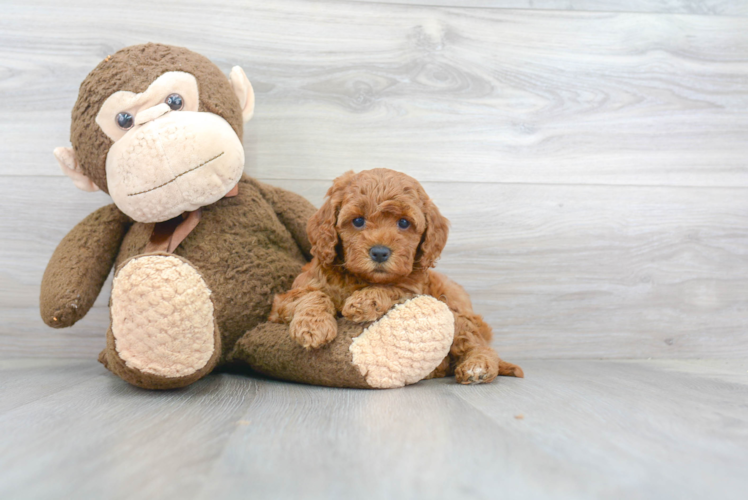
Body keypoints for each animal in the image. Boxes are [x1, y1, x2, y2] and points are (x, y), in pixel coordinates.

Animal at [270, 170, 524, 384]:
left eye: (404, 222)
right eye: (358, 220)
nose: (380, 252)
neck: (361, 279)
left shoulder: (415, 289)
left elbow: (394, 288)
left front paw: (364, 301)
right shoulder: (284, 300)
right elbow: (312, 295)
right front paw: (312, 327)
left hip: (457, 314)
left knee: (479, 346)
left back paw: (477, 367)